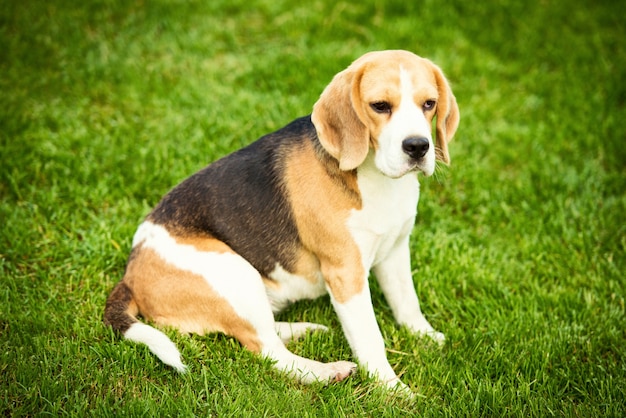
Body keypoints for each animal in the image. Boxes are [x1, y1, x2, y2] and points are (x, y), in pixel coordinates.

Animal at [103, 49, 458, 392]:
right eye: (380, 106)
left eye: (429, 104)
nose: (418, 147)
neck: (376, 179)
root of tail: (130, 274)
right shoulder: (346, 272)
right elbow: (371, 338)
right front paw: (392, 389)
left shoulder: (395, 249)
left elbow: (407, 302)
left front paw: (425, 336)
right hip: (236, 272)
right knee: (268, 352)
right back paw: (326, 372)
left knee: (269, 333)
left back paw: (306, 330)